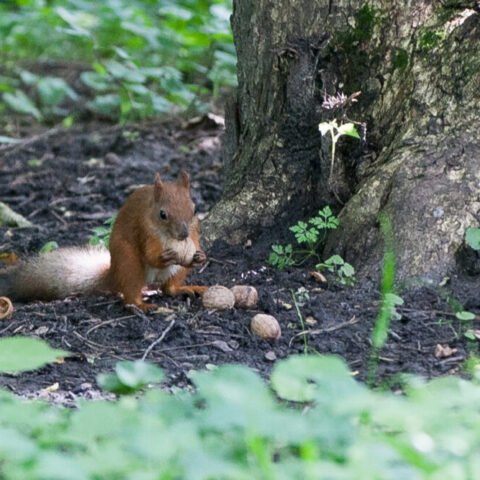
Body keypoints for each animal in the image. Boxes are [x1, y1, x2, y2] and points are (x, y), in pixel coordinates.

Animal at [0, 170, 209, 312]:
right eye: (162, 214)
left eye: (195, 209)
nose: (183, 234)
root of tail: (114, 273)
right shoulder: (144, 230)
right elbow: (150, 255)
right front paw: (164, 257)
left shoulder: (194, 233)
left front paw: (200, 256)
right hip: (129, 264)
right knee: (131, 294)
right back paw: (141, 305)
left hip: (178, 271)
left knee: (168, 288)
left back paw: (186, 288)